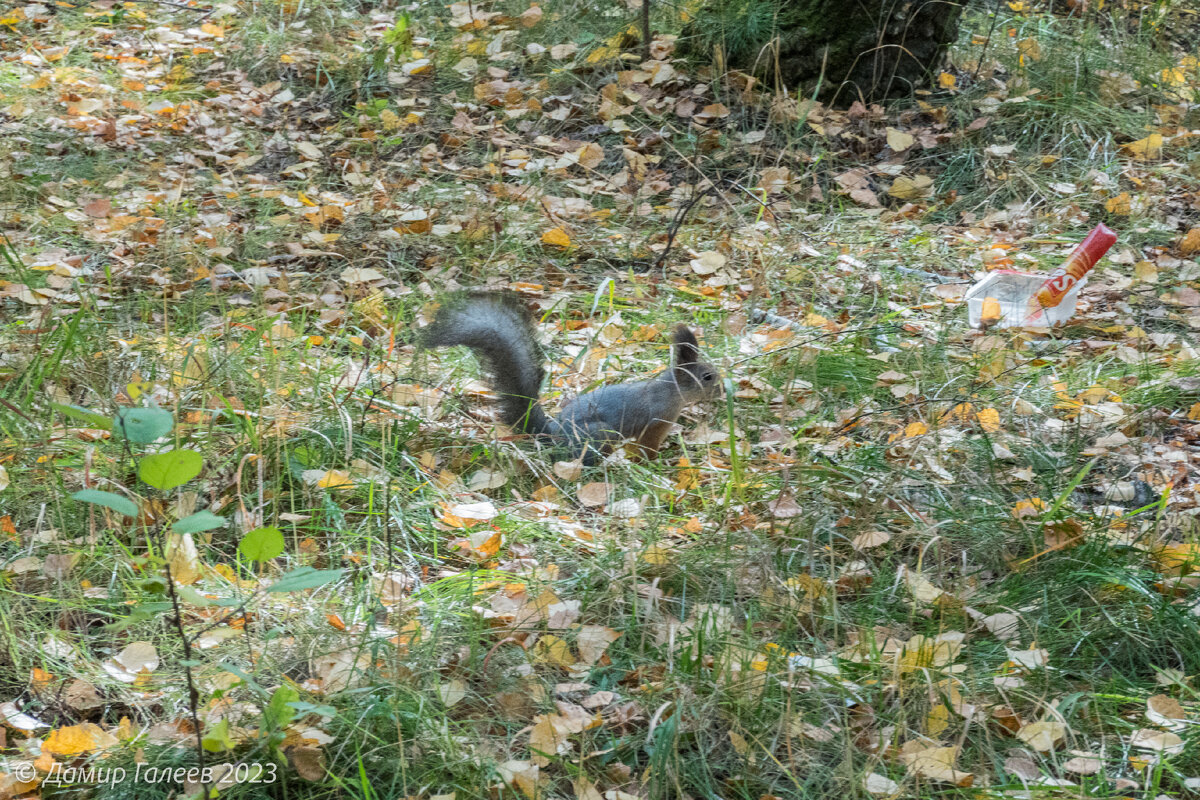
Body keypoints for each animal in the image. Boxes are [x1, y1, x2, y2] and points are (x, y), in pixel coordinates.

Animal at [422, 292, 720, 462]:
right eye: (707, 377)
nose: (723, 391)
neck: (670, 392)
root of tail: (552, 435)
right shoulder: (656, 421)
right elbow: (647, 447)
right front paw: (656, 462)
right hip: (599, 435)